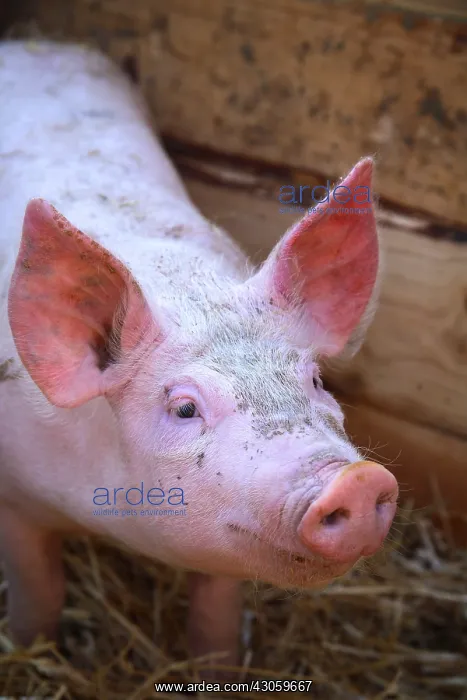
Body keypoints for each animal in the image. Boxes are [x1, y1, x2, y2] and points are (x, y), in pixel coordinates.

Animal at [0, 40, 398, 669]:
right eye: (185, 408)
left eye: (314, 380)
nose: (354, 481)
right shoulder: (14, 500)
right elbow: (38, 589)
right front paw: (27, 648)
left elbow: (215, 613)